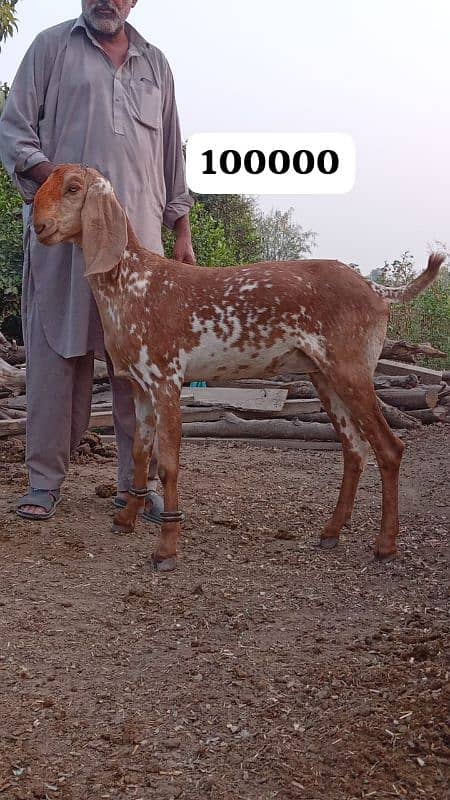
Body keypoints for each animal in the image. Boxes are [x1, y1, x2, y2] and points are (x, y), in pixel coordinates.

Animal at [33, 166, 444, 572]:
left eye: (73, 188)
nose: (39, 226)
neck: (133, 283)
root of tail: (377, 289)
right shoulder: (140, 385)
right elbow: (138, 452)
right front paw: (125, 520)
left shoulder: (167, 379)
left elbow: (167, 464)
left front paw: (166, 549)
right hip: (324, 376)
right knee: (355, 449)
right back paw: (331, 531)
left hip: (351, 370)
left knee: (389, 448)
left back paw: (385, 544)